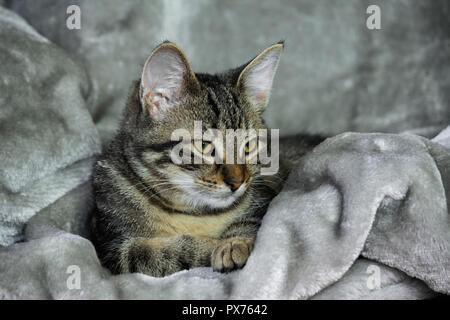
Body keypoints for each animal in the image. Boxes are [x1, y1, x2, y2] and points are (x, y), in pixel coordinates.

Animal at [91, 41, 324, 276]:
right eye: (204, 146)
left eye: (248, 146)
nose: (237, 182)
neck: (193, 212)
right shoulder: (111, 247)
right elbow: (156, 253)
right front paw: (211, 247)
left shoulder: (265, 193)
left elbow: (253, 221)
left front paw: (234, 243)